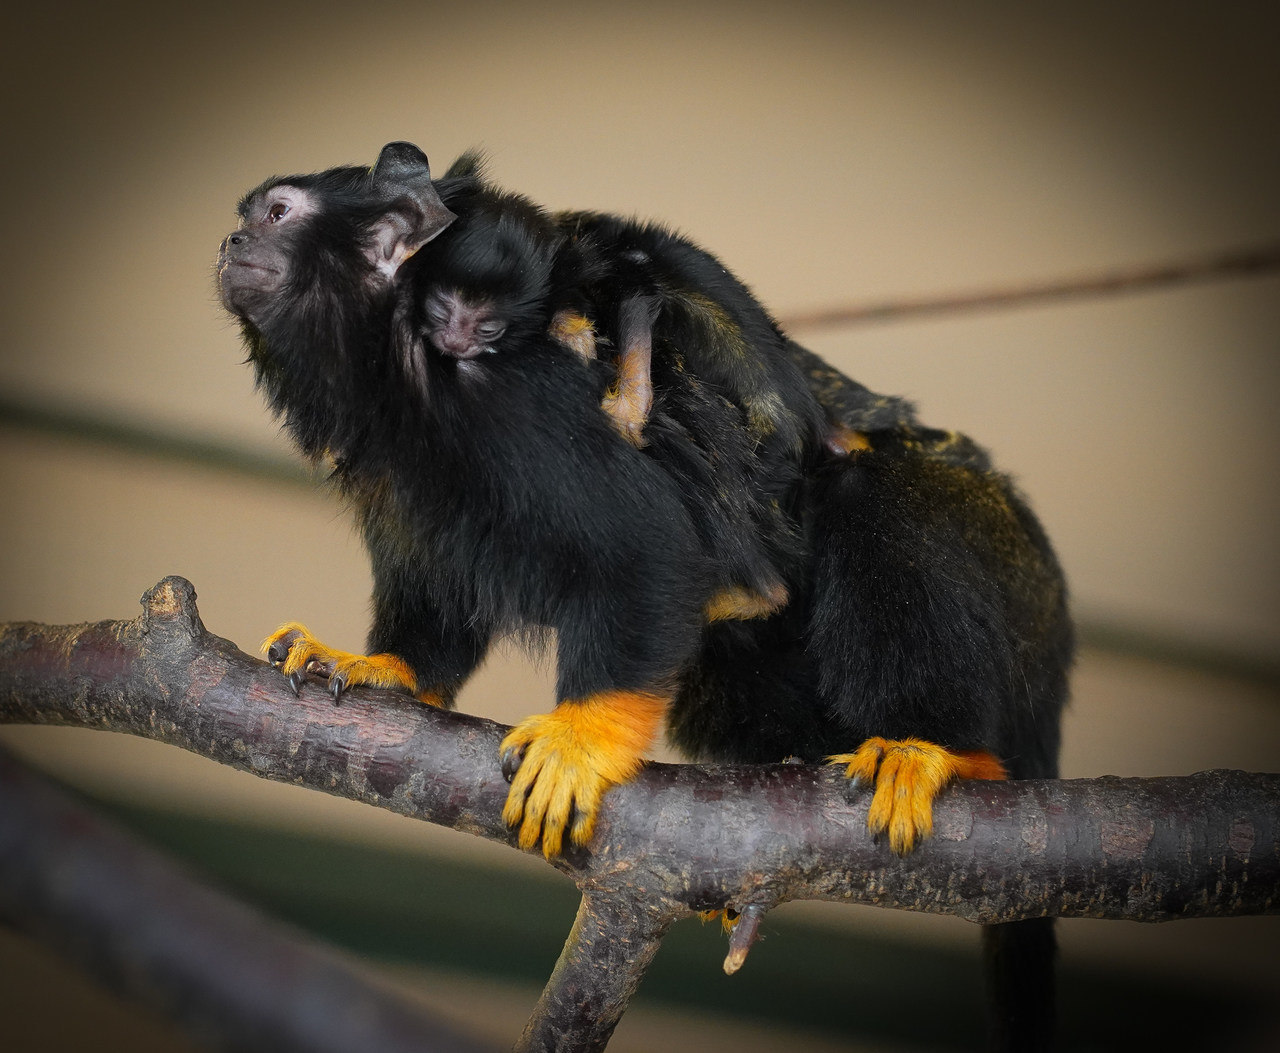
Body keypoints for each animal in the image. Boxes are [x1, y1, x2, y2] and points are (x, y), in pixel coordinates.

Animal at [217, 142, 1070, 1053]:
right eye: (247, 216)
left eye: (277, 214)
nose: (233, 242)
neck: (406, 366)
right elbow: (436, 580)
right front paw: (387, 665)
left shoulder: (530, 400)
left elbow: (649, 547)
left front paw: (582, 739)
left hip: (1008, 575)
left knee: (872, 495)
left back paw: (938, 745)